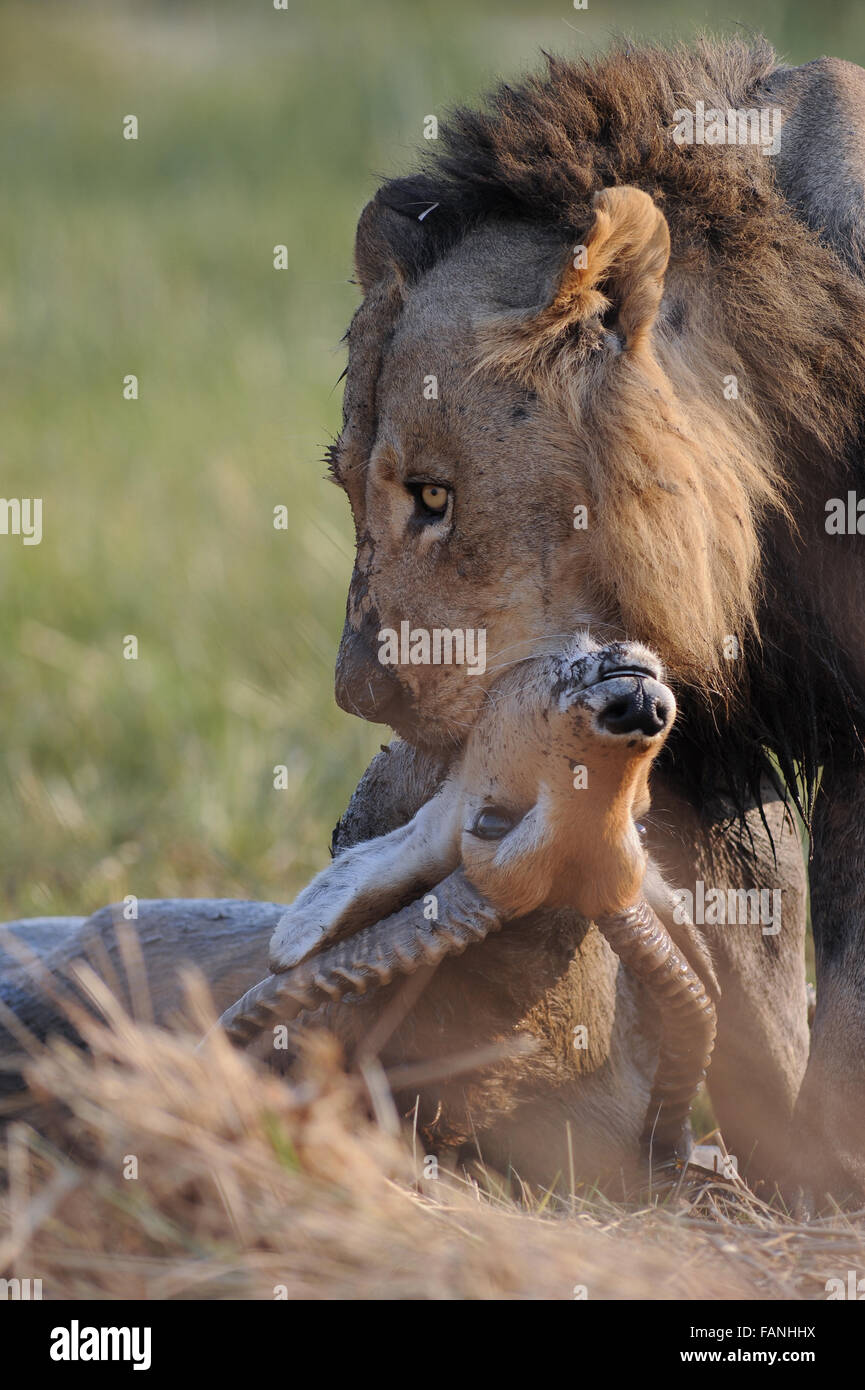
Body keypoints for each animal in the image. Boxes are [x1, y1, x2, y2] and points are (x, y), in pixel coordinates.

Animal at [322, 35, 865, 1206]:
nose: (357, 693)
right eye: (344, 484)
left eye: (433, 495)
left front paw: (832, 1176)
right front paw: (774, 1171)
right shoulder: (704, 740)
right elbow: (747, 962)